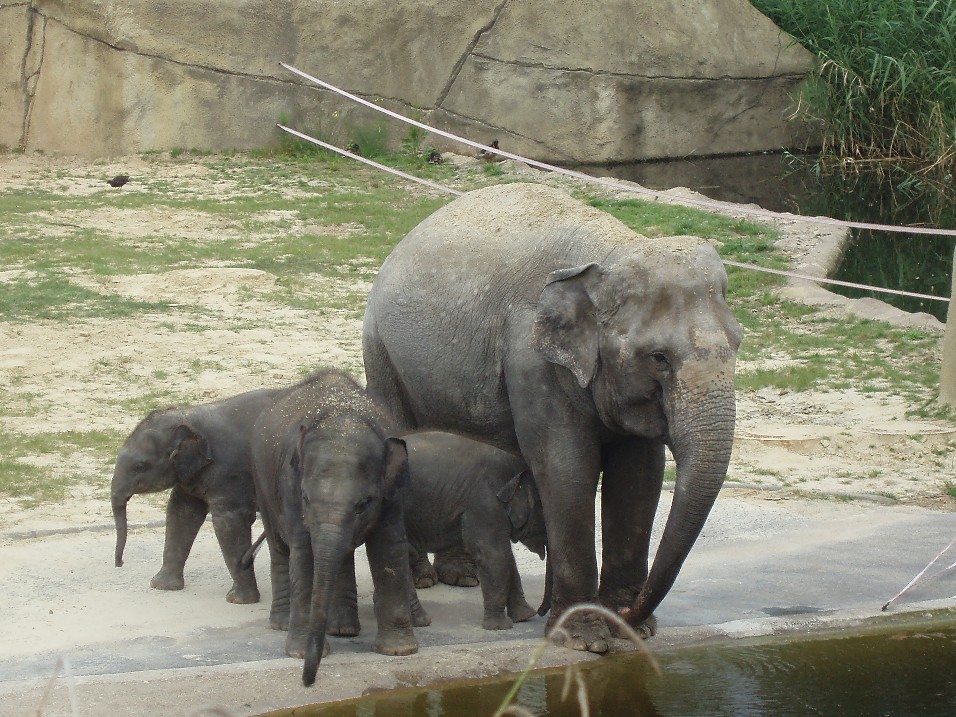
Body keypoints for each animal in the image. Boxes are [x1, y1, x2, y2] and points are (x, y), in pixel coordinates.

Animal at [111, 387, 280, 603]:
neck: (190, 416)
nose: (120, 563)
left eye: (139, 466)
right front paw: (162, 586)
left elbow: (228, 523)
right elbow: (181, 513)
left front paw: (238, 600)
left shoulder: (230, 473)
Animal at [250, 368, 421, 687]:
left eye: (363, 503)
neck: (343, 418)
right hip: (261, 481)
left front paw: (400, 651)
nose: (308, 681)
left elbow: (388, 548)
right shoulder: (291, 485)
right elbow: (304, 553)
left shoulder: (393, 491)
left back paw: (343, 629)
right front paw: (298, 653)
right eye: (305, 498)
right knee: (279, 548)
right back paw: (282, 624)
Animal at [402, 430, 547, 630]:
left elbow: (506, 556)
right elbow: (493, 555)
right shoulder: (484, 503)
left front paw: (525, 617)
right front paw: (499, 627)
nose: (541, 612)